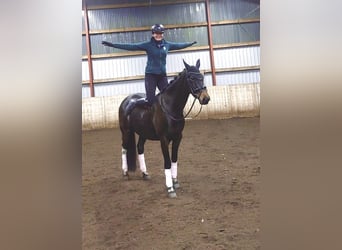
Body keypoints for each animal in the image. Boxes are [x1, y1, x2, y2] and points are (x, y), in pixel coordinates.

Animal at [117, 58, 210, 197]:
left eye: (201, 77)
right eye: (191, 78)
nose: (205, 98)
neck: (170, 107)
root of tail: (126, 100)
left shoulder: (178, 138)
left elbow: (174, 159)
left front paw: (175, 181)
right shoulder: (164, 139)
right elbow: (167, 162)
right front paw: (170, 188)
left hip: (143, 133)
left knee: (140, 148)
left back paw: (145, 173)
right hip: (126, 132)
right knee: (124, 148)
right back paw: (125, 173)